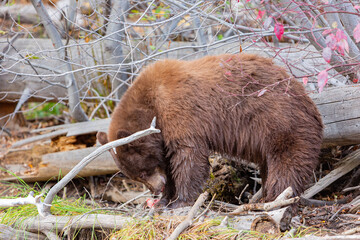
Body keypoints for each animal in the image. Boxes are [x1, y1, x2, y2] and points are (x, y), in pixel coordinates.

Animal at [96, 53, 324, 207]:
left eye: (142, 172)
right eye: (136, 177)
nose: (155, 190)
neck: (151, 106)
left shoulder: (179, 111)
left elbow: (188, 155)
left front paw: (180, 200)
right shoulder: (163, 135)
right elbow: (170, 163)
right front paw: (164, 200)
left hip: (281, 122)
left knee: (287, 162)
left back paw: (276, 196)